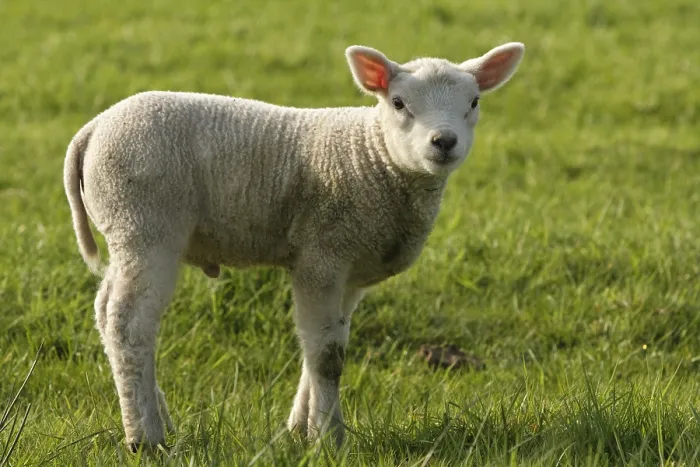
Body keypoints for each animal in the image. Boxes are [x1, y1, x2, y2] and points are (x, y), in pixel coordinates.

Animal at [63, 41, 524, 452]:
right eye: (398, 103)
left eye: (474, 102)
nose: (444, 142)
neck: (373, 156)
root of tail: (92, 130)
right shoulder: (322, 253)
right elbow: (328, 357)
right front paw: (328, 439)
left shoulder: (349, 269)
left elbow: (319, 344)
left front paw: (299, 430)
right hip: (144, 225)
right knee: (130, 326)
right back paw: (145, 437)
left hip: (126, 234)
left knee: (105, 313)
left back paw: (158, 419)